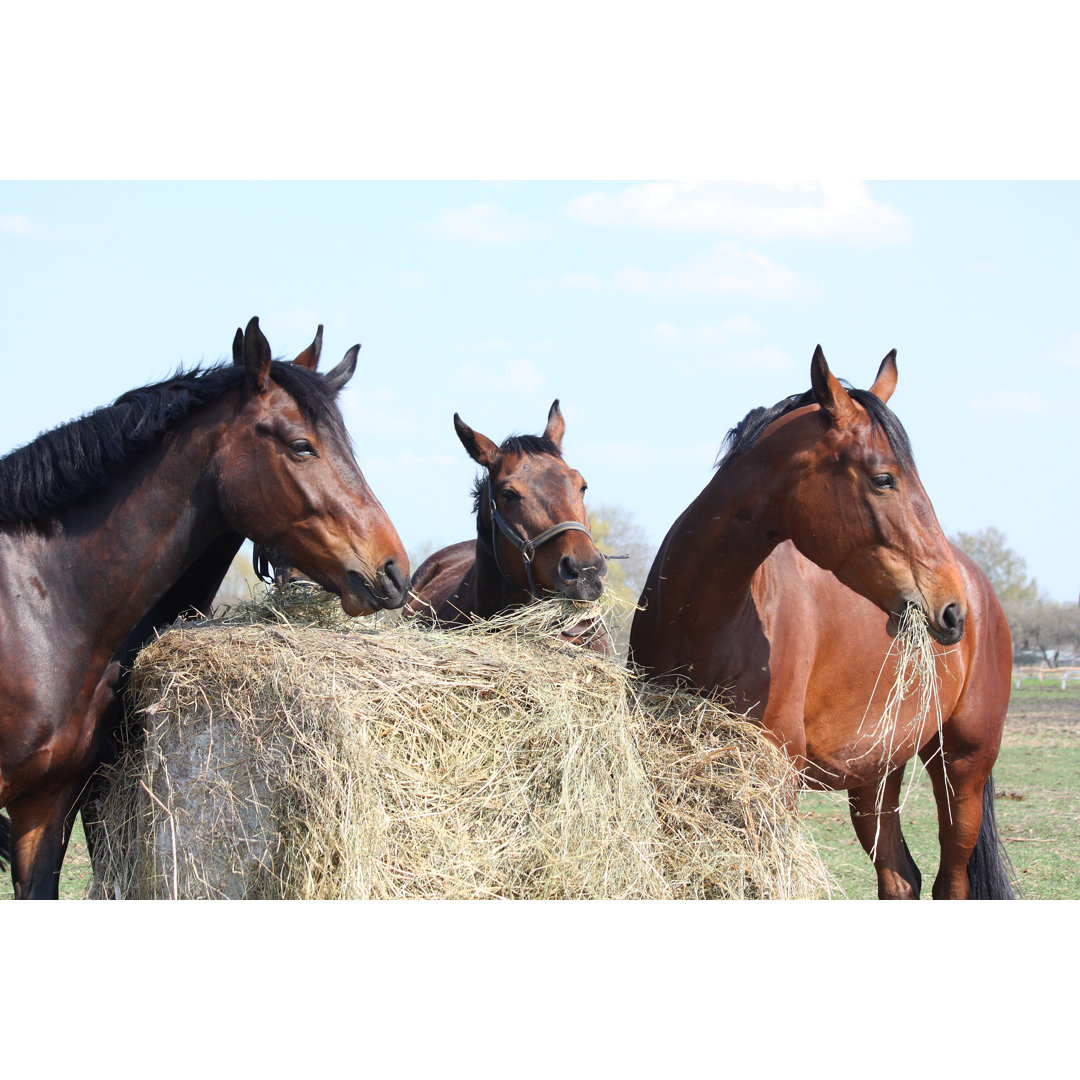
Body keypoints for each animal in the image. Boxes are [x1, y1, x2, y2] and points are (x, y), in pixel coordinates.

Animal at [630, 347, 1015, 902]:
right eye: (884, 478)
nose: (951, 609)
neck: (702, 621)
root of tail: (981, 588)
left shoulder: (774, 784)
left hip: (961, 766)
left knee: (951, 882)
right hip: (877, 773)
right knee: (900, 878)